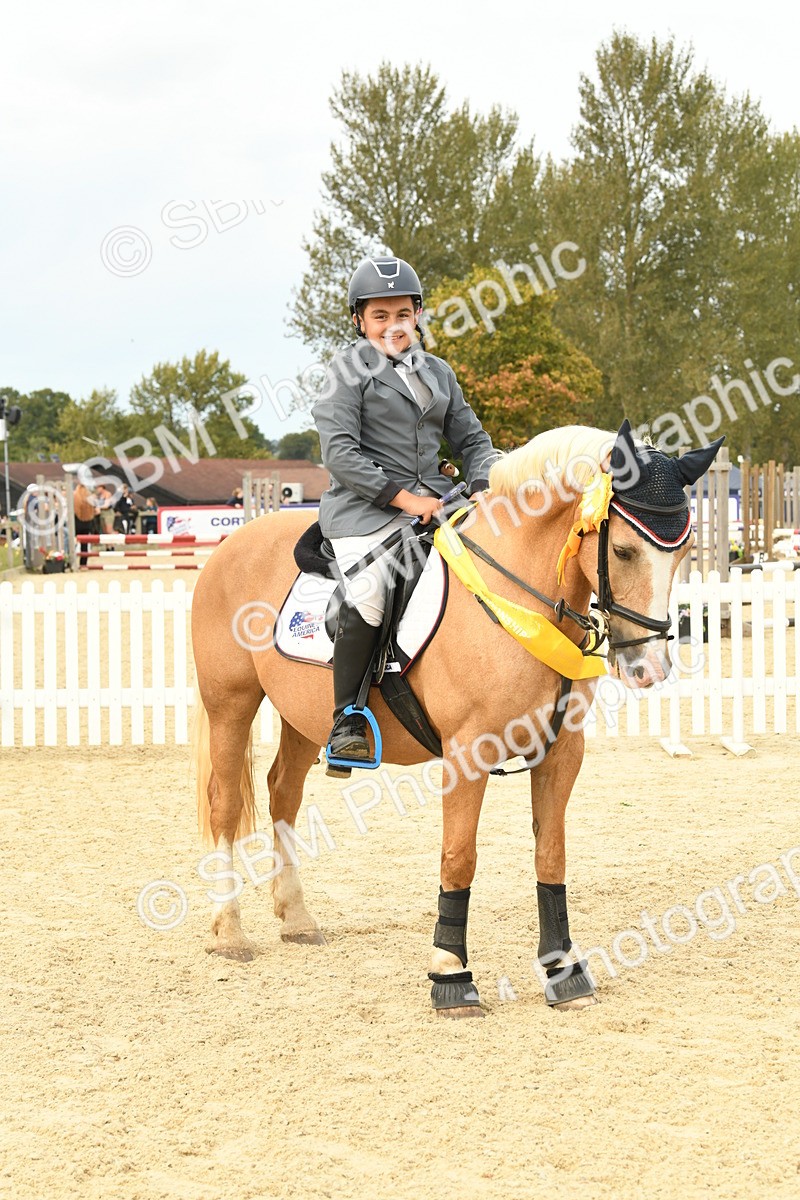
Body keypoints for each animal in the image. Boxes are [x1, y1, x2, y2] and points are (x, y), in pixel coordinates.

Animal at [191, 421, 723, 1017]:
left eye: (684, 554)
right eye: (625, 551)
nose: (649, 668)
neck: (517, 595)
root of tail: (232, 544)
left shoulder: (562, 750)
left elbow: (551, 855)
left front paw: (564, 971)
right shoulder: (467, 754)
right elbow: (459, 857)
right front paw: (451, 975)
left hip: (302, 718)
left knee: (283, 794)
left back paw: (297, 919)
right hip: (230, 704)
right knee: (225, 805)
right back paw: (228, 931)